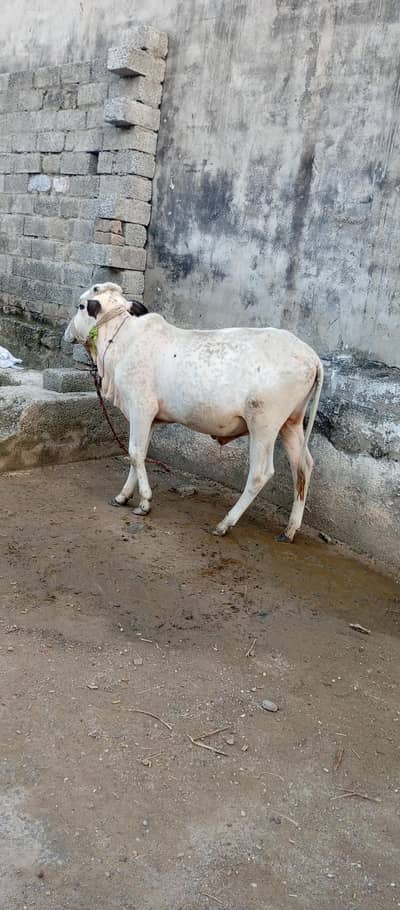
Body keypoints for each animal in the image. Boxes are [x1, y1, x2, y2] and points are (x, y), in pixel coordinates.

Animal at [64, 282, 323, 541]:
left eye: (80, 305)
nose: (67, 333)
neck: (121, 339)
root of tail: (312, 356)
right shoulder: (150, 419)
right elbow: (140, 454)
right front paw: (123, 496)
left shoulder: (141, 408)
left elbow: (135, 453)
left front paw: (145, 502)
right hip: (291, 424)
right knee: (303, 467)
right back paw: (290, 529)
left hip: (264, 424)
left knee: (261, 473)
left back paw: (225, 523)